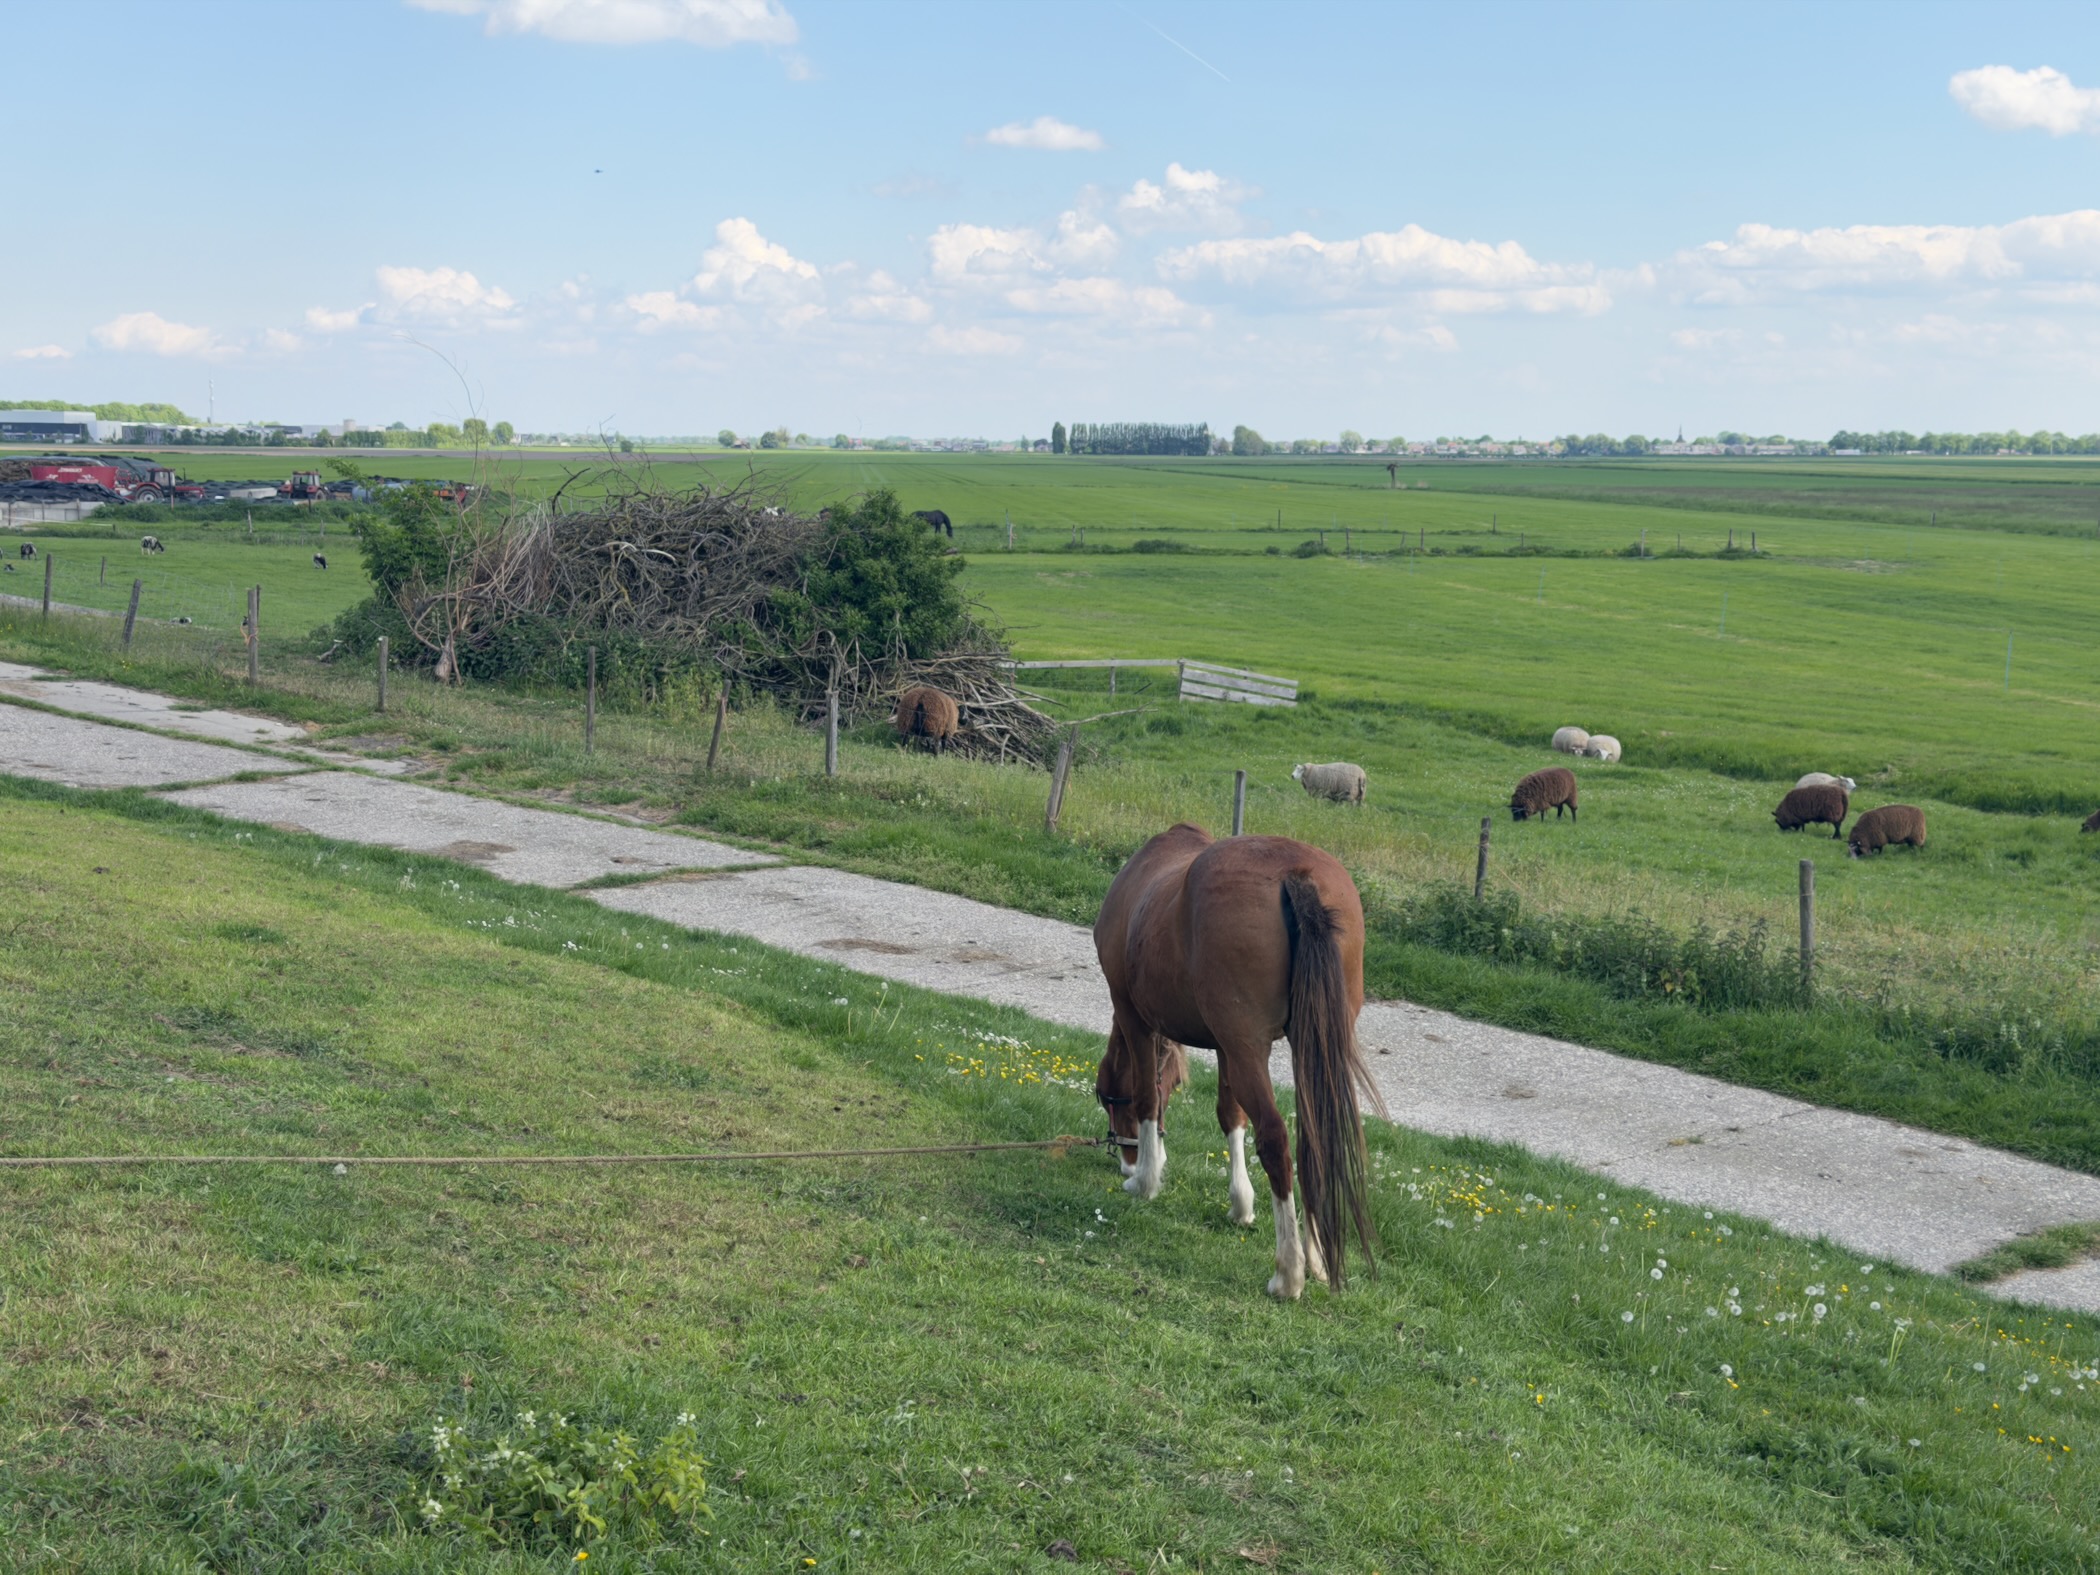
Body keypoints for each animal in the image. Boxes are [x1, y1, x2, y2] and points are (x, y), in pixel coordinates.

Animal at [1094, 823, 1386, 1298]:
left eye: (1104, 1096)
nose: (1126, 1159)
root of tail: (1297, 875)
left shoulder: (1135, 1017)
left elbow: (1147, 1098)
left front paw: (1146, 1181)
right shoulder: (1226, 1045)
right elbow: (1230, 1115)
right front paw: (1241, 1204)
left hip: (1250, 1049)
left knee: (1276, 1139)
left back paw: (1289, 1273)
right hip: (1299, 1046)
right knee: (1312, 1142)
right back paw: (1317, 1259)